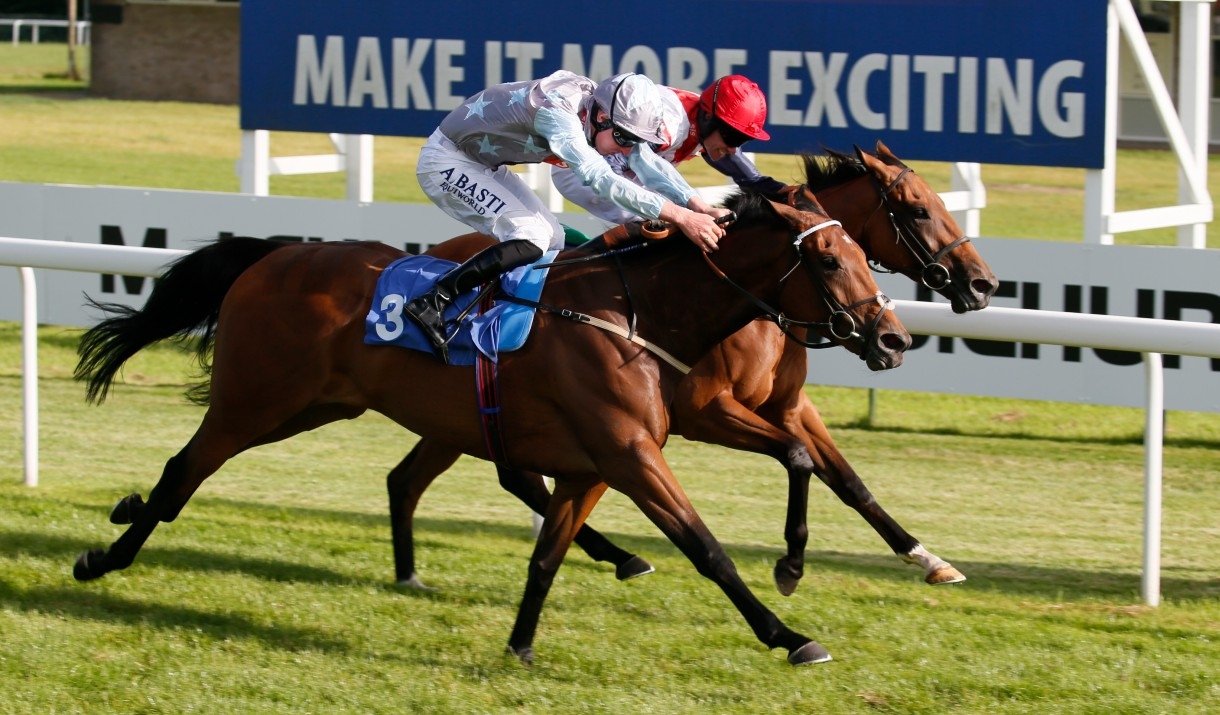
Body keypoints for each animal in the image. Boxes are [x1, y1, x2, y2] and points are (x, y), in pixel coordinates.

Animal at [66, 187, 907, 663]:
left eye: (864, 252)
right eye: (829, 262)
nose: (894, 337)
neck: (634, 313)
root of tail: (271, 256)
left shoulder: (592, 465)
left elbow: (545, 556)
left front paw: (522, 643)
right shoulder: (631, 454)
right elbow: (708, 547)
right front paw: (789, 630)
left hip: (320, 405)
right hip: (256, 400)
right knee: (183, 471)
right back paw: (105, 556)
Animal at [390, 139, 1000, 590]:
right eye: (919, 210)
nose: (983, 283)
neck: (748, 301)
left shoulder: (788, 404)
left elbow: (846, 479)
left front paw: (927, 558)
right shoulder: (707, 412)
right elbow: (799, 459)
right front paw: (789, 567)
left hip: (459, 413)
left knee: (430, 476)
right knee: (505, 475)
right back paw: (621, 556)